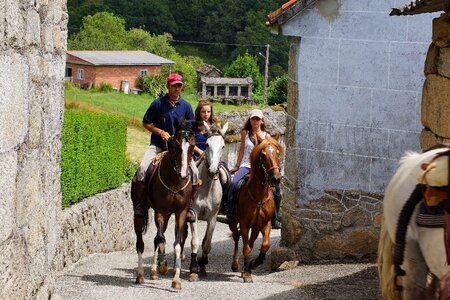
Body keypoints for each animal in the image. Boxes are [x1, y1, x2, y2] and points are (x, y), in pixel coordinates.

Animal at [134, 118, 196, 290]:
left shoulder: (180, 212)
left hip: (169, 214)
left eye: (193, 145)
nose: (184, 174)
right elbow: (159, 238)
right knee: (140, 243)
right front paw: (157, 268)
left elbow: (177, 244)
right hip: (140, 215)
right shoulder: (160, 211)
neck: (174, 181)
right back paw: (142, 274)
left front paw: (176, 280)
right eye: (175, 144)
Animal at [187, 121, 229, 282]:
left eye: (223, 146)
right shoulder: (193, 215)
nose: (212, 171)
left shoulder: (212, 218)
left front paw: (203, 265)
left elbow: (207, 244)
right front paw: (193, 270)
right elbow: (195, 242)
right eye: (206, 144)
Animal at [230, 135, 284, 282]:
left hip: (255, 226)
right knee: (237, 238)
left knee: (251, 241)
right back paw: (236, 265)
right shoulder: (244, 224)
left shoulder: (265, 223)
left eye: (277, 153)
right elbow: (246, 248)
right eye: (263, 155)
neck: (259, 196)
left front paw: (255, 263)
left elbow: (265, 245)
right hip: (233, 222)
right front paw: (247, 274)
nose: (276, 178)